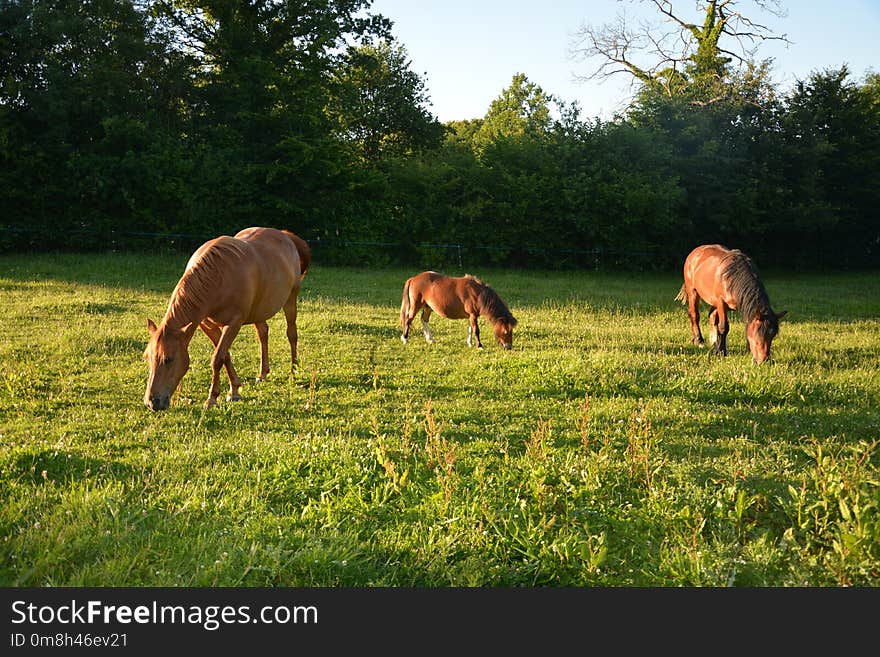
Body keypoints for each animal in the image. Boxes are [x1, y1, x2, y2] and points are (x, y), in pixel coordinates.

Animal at [143, 227, 312, 410]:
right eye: (147, 358)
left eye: (169, 359)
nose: (152, 402)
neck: (218, 278)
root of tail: (284, 235)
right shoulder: (206, 324)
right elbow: (225, 355)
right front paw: (234, 390)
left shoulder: (234, 323)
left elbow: (217, 358)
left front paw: (212, 398)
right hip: (258, 310)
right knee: (263, 334)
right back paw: (262, 374)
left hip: (291, 300)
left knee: (291, 334)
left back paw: (294, 371)